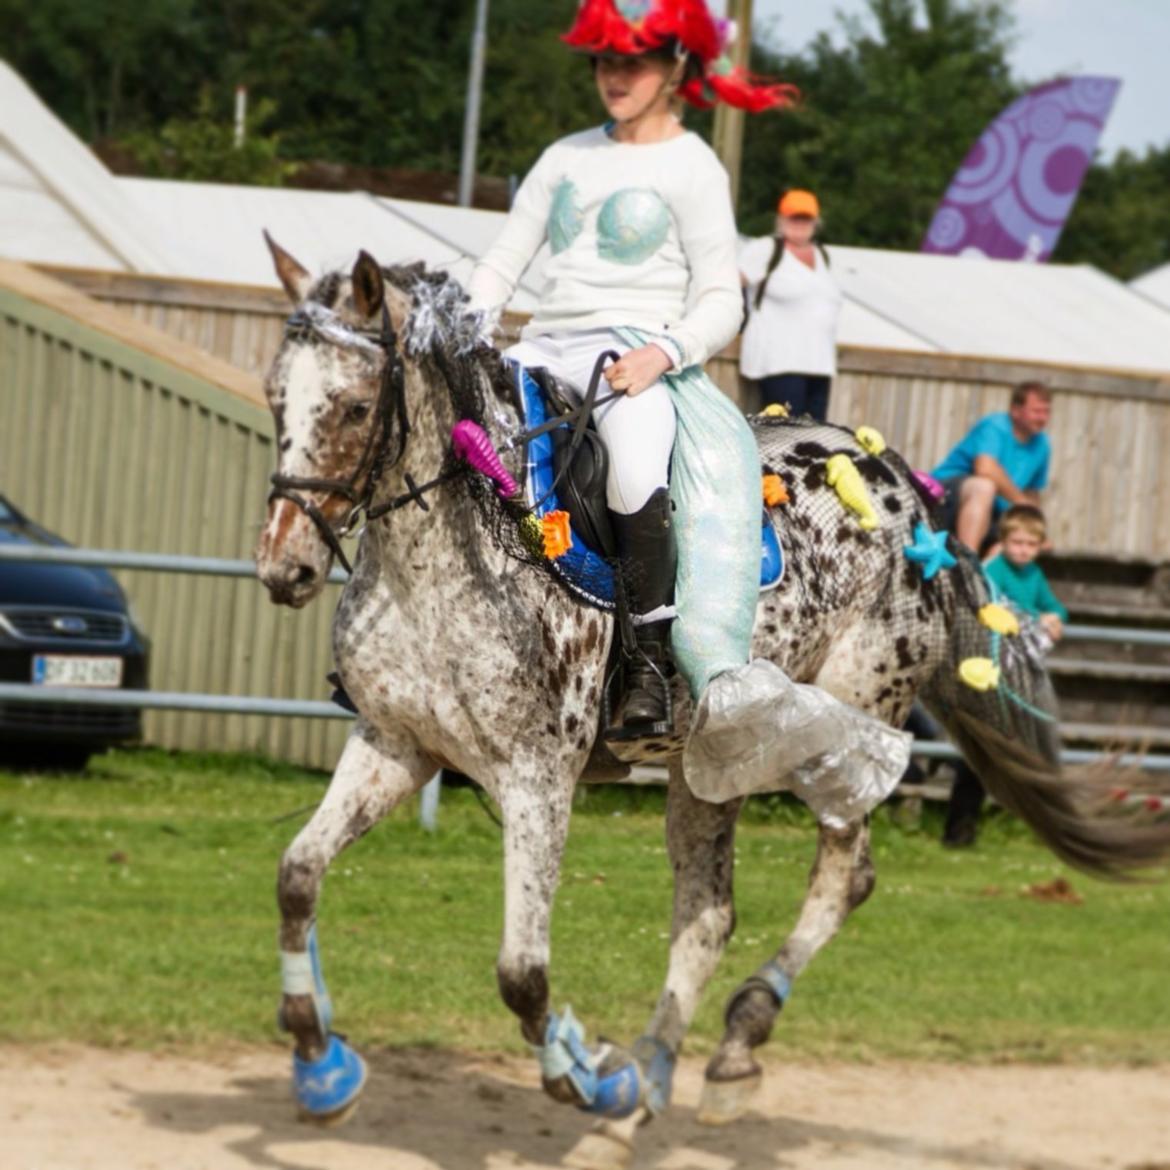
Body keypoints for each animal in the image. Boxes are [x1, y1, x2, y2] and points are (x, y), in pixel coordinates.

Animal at [256, 242, 1170, 1165]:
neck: (458, 552)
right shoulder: (395, 745)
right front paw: (319, 1061)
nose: (283, 566)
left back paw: (727, 1048)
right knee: (705, 917)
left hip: (851, 725)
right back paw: (639, 1102)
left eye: (355, 406)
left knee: (843, 877)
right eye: (276, 395)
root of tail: (912, 496)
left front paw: (587, 1076)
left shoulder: (535, 779)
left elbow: (522, 973)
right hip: (710, 762)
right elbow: (296, 877)